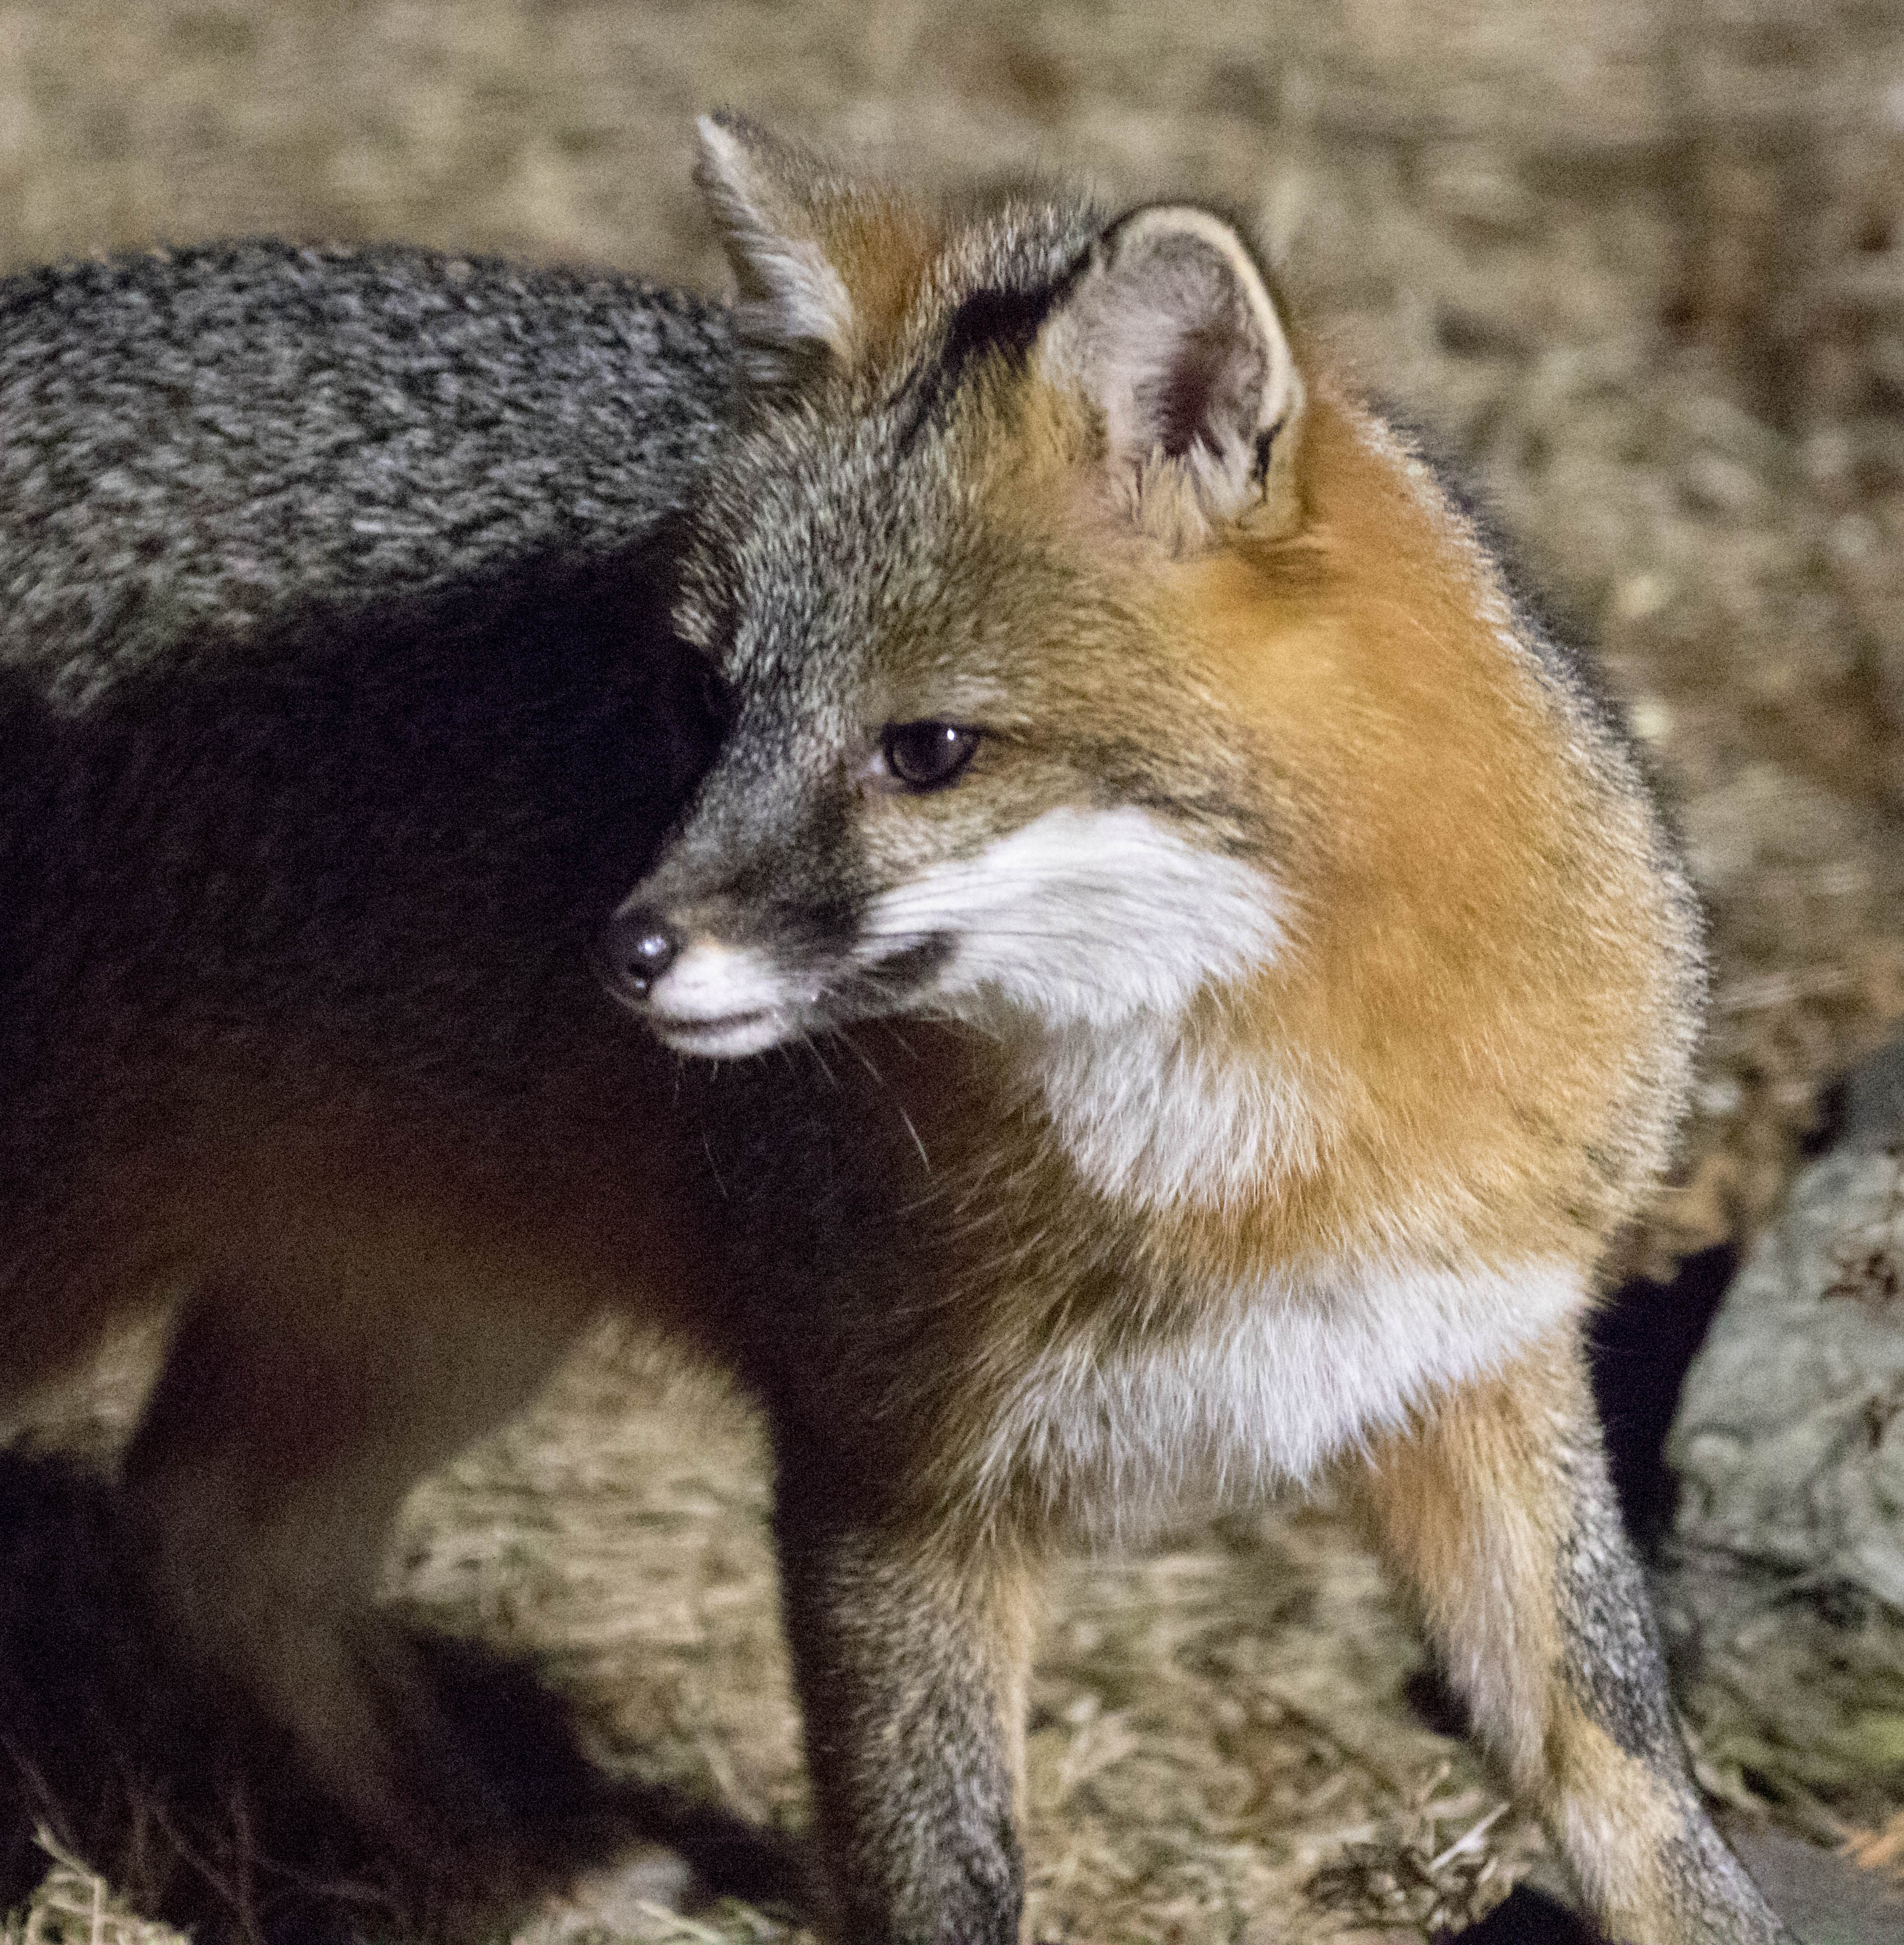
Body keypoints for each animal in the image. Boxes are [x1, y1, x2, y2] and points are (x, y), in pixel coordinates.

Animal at [0, 113, 1794, 1945]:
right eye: (703, 702)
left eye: (926, 751)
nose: (622, 953)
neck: (1244, 1125)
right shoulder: (892, 1483)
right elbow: (946, 1874)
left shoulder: (1478, 1365)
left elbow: (1629, 1776)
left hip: (448, 1310)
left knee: (219, 1532)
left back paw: (515, 1867)